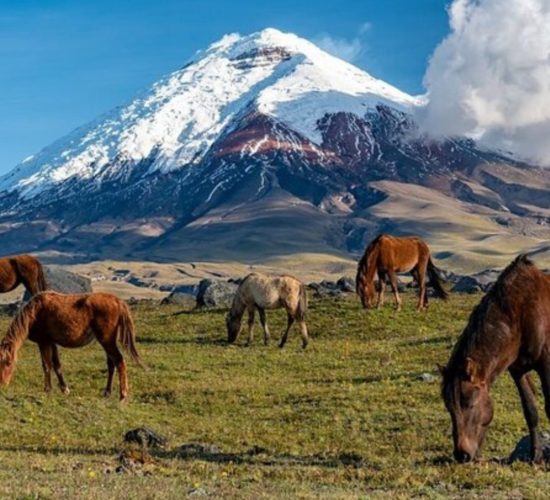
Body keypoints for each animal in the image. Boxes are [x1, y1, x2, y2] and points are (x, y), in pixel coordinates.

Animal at [0, 290, 143, 402]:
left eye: (8, 363)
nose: (3, 384)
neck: (34, 313)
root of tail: (118, 301)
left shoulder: (44, 342)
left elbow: (46, 365)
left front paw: (47, 390)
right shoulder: (52, 342)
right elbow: (56, 365)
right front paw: (64, 389)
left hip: (107, 340)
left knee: (119, 361)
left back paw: (123, 395)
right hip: (107, 341)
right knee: (111, 364)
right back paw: (107, 393)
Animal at [442, 256, 550, 462]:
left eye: (470, 404)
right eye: (449, 407)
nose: (462, 455)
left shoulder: (546, 365)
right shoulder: (517, 370)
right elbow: (530, 411)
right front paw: (535, 456)